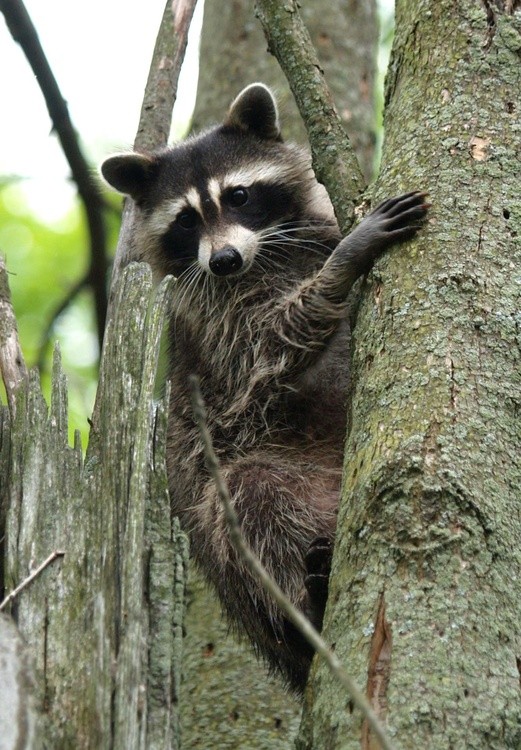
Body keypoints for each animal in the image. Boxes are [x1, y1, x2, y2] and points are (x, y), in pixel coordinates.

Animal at [100, 85, 426, 696]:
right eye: (186, 220)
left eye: (239, 195)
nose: (224, 259)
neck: (263, 257)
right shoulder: (213, 319)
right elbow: (264, 349)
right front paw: (343, 264)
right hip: (240, 531)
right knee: (253, 501)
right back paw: (305, 603)